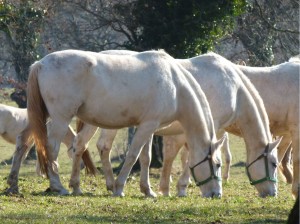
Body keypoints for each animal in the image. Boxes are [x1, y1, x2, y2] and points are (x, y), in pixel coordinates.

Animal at [19, 49, 226, 198]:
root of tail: (41, 63)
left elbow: (146, 158)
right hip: (61, 119)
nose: (216, 194)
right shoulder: (147, 126)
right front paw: (119, 188)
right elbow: (133, 156)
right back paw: (58, 186)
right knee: (51, 149)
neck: (175, 84)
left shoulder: (149, 126)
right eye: (217, 164)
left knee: (75, 146)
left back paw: (75, 187)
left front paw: (147, 190)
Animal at [74, 50, 280, 198]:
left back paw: (104, 184)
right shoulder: (211, 126)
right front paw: (181, 187)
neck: (234, 88)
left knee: (90, 145)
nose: (272, 193)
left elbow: (166, 157)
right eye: (274, 163)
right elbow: (190, 158)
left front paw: (163, 188)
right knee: (97, 146)